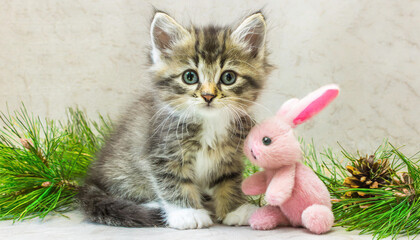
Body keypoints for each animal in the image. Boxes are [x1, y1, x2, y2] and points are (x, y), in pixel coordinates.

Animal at [76, 10, 270, 229]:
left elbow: (229, 180)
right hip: (122, 170)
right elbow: (173, 182)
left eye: (228, 77)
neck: (209, 123)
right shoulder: (163, 152)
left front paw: (235, 209)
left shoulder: (230, 157)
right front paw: (187, 213)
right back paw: (155, 206)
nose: (208, 96)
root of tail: (91, 179)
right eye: (190, 77)